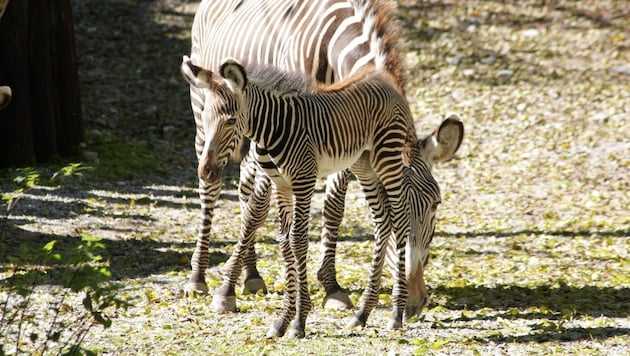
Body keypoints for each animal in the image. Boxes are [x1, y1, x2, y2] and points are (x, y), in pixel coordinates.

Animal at [185, 0, 466, 322]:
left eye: (435, 204)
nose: (415, 301)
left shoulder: (344, 141)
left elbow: (333, 209)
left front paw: (331, 287)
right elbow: (258, 210)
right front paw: (226, 291)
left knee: (244, 185)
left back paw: (252, 273)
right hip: (202, 112)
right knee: (211, 189)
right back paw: (199, 276)